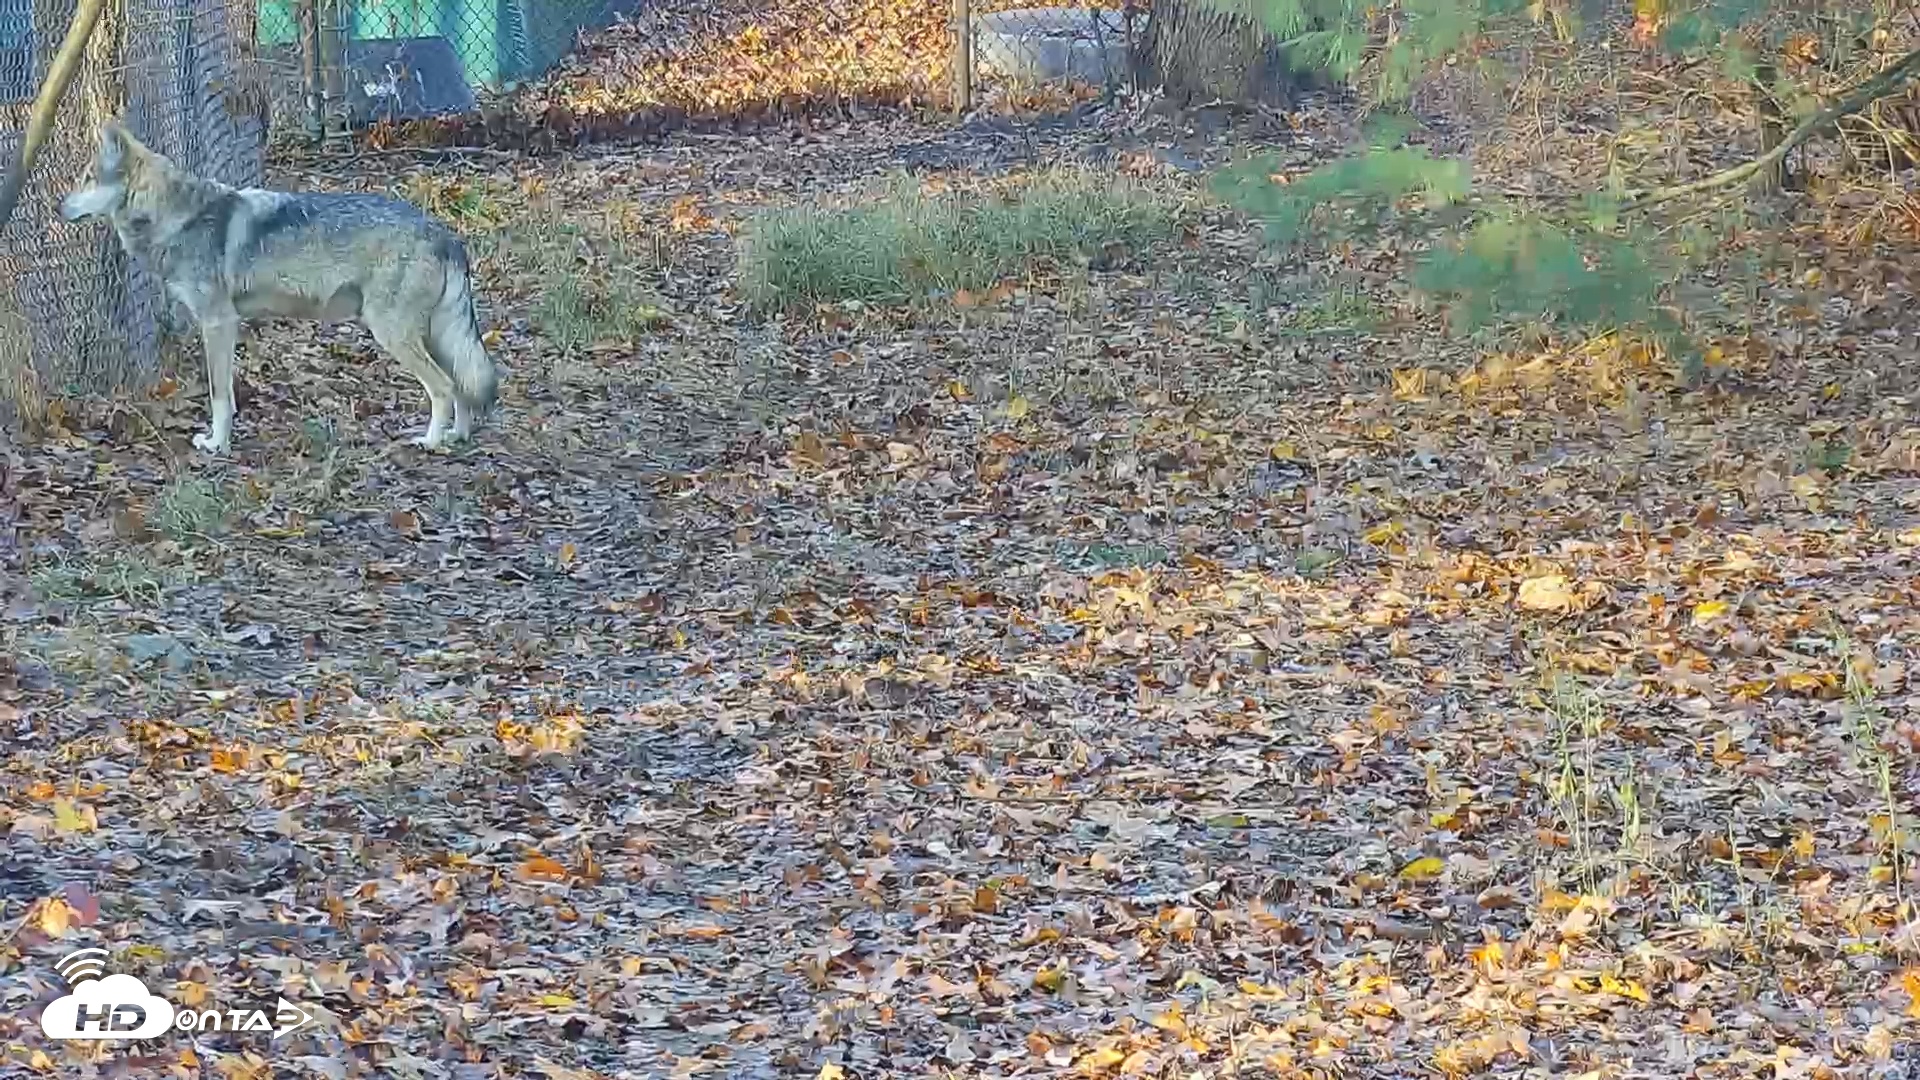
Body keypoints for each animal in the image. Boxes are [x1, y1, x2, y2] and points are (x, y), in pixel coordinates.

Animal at [59, 120, 500, 454]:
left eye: (87, 179)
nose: (59, 207)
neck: (175, 216)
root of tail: (446, 234)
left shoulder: (218, 323)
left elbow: (220, 396)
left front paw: (217, 445)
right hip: (431, 335)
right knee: (462, 383)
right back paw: (457, 436)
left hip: (393, 334)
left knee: (444, 386)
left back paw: (431, 442)